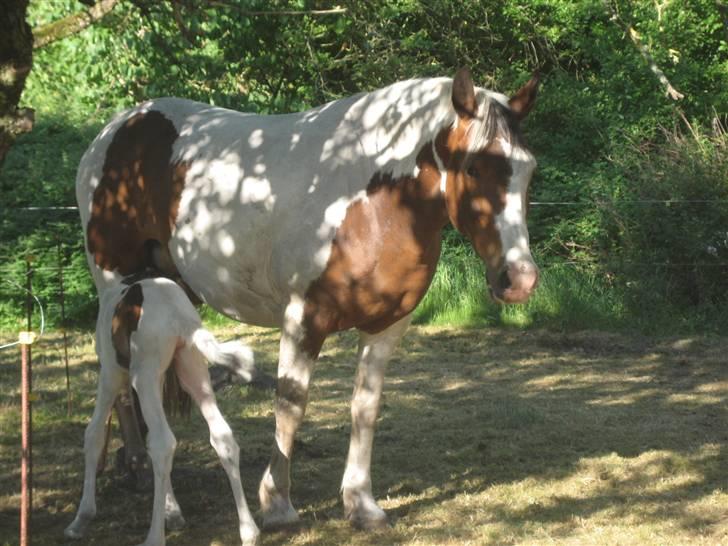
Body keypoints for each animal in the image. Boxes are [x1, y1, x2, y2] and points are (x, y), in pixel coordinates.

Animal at [64, 276, 260, 544]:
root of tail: (179, 316)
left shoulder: (111, 373)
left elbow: (93, 434)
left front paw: (81, 518)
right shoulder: (160, 379)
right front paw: (173, 512)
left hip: (143, 376)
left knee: (164, 442)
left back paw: (154, 537)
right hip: (193, 371)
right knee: (222, 436)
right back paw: (249, 530)